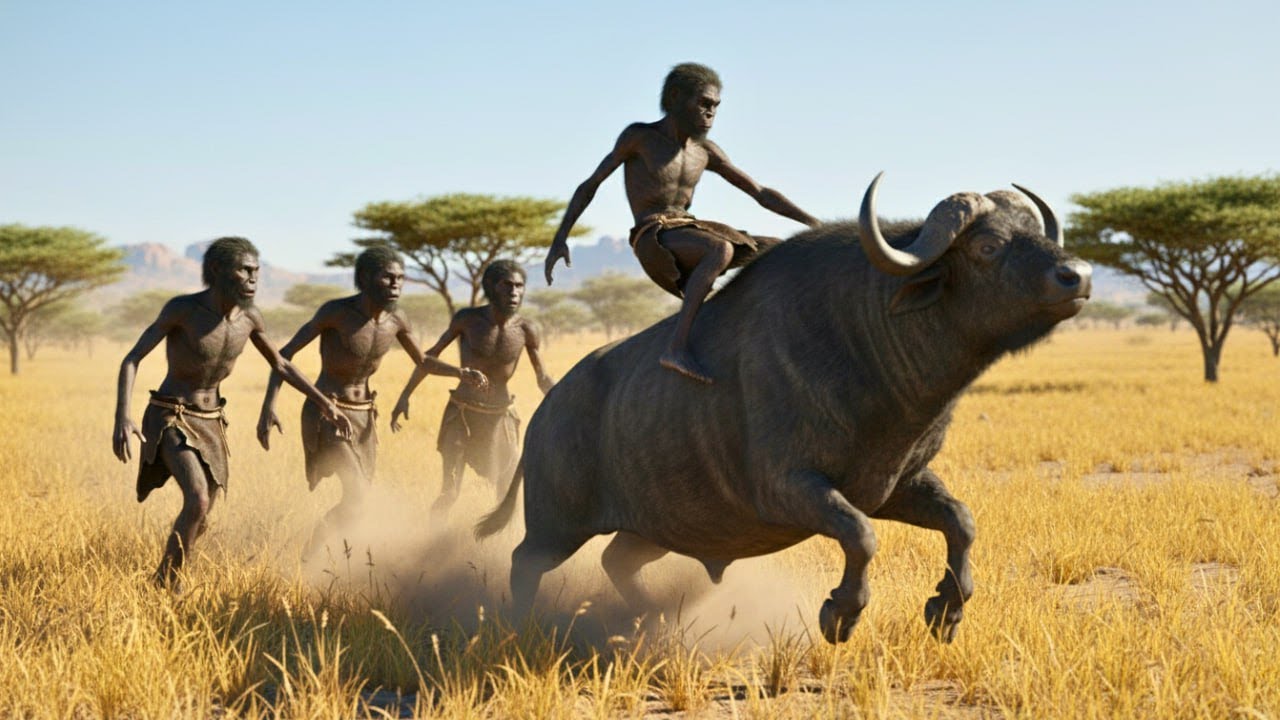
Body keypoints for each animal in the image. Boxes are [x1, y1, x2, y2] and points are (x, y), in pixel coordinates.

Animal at [476, 173, 1091, 643]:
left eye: (1032, 232)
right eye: (988, 247)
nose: (1079, 276)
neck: (863, 336)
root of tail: (547, 412)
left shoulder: (896, 484)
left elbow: (960, 521)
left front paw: (947, 610)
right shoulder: (789, 488)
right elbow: (861, 536)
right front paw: (841, 614)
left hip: (651, 528)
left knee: (615, 563)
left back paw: (649, 618)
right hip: (557, 527)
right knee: (524, 563)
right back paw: (519, 628)